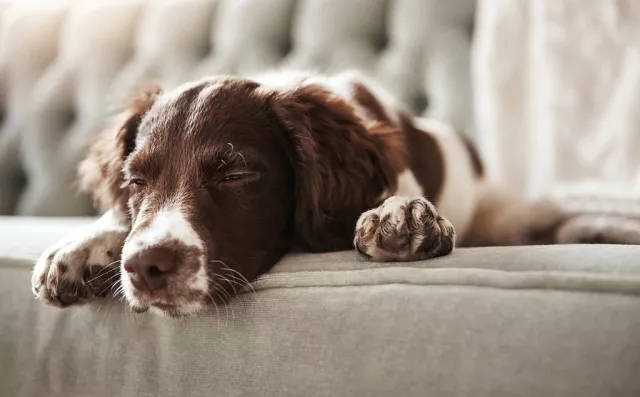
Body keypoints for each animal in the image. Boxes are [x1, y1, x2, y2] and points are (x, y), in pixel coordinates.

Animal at [28, 70, 632, 316]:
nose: (147, 268)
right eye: (135, 181)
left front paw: (402, 214)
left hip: (507, 214)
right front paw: (80, 247)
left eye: (235, 174)